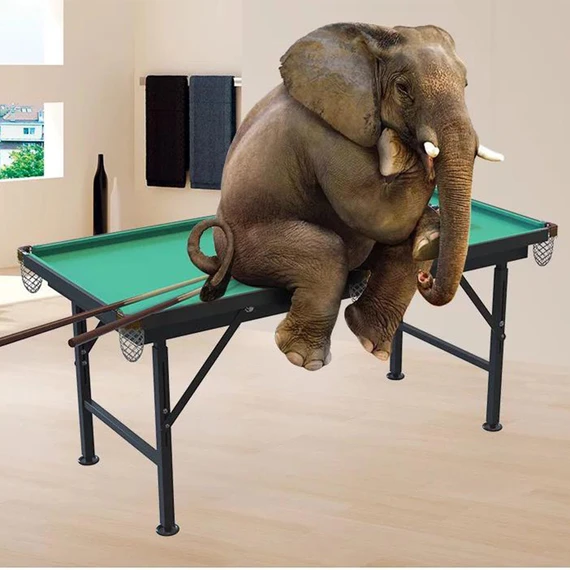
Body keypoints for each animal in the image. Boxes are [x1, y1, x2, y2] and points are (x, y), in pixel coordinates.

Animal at [187, 22, 503, 371]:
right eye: (403, 88)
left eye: (466, 84)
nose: (426, 280)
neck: (371, 40)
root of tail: (220, 257)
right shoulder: (325, 133)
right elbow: (376, 212)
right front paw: (402, 151)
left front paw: (430, 223)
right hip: (250, 247)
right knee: (326, 251)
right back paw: (303, 358)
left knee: (403, 250)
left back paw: (373, 335)